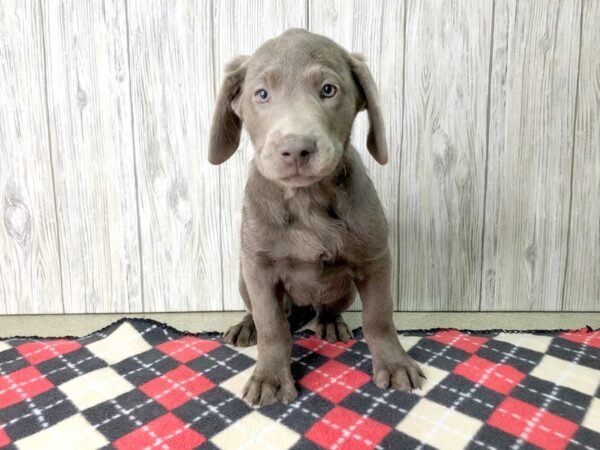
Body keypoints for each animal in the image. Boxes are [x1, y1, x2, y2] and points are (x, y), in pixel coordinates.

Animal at [209, 29, 424, 408]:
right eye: (261, 94)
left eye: (328, 89)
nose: (296, 148)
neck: (306, 199)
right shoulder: (258, 267)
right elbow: (272, 326)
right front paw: (270, 376)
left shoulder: (375, 259)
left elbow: (379, 317)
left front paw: (395, 363)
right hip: (243, 279)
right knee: (266, 313)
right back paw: (246, 326)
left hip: (344, 291)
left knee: (327, 307)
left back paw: (330, 322)